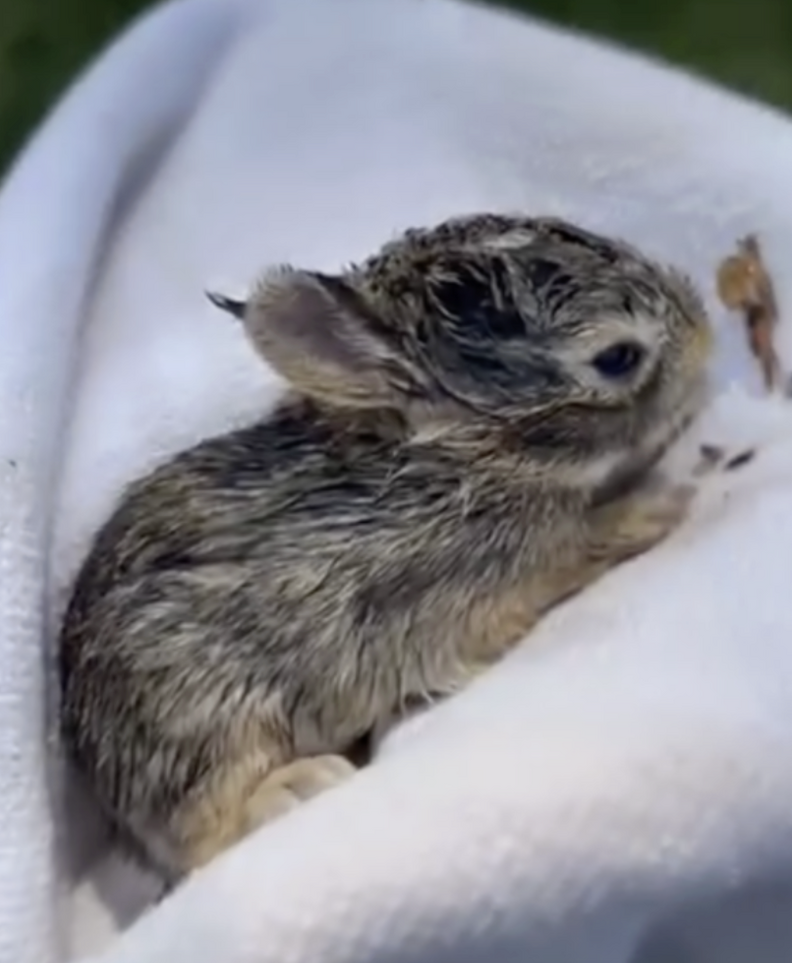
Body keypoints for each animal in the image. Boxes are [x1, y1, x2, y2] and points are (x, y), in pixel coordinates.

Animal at [59, 212, 713, 882]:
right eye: (618, 357)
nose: (703, 333)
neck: (467, 456)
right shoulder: (508, 563)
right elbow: (588, 536)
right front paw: (662, 503)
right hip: (205, 713)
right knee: (205, 834)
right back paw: (302, 784)